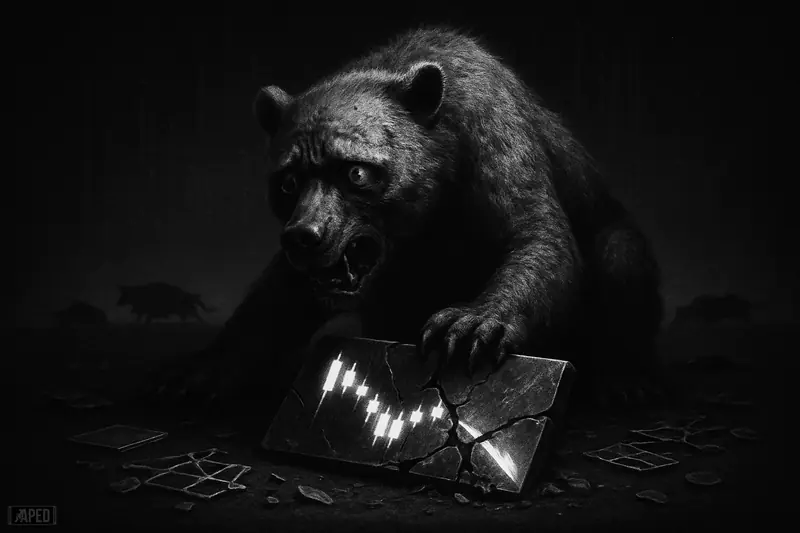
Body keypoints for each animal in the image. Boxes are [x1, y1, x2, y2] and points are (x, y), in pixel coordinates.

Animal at [159, 26, 664, 412]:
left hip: (618, 242)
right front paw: (205, 370)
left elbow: (538, 241)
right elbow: (268, 304)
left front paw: (471, 324)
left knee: (621, 261)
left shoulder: (502, 152)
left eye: (356, 171)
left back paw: (623, 382)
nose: (303, 236)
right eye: (288, 182)